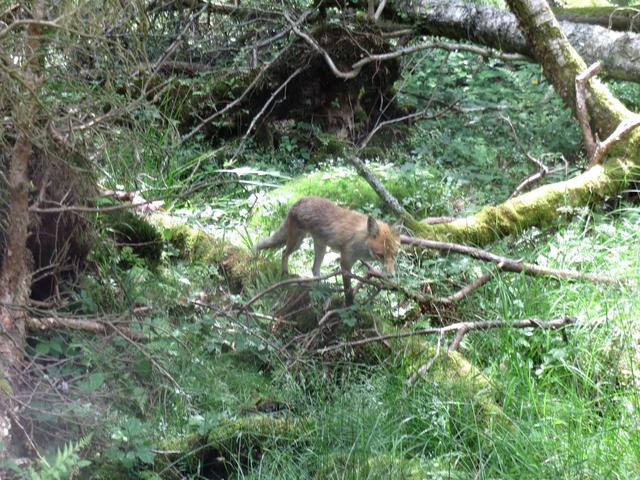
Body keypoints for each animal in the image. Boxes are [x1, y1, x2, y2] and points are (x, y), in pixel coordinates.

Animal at [255, 196, 401, 305]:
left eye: (394, 255)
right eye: (380, 255)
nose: (392, 276)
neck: (362, 241)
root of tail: (300, 200)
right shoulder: (345, 262)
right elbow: (348, 290)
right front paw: (350, 306)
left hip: (320, 247)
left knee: (314, 268)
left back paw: (320, 290)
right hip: (297, 242)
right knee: (284, 253)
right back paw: (285, 273)